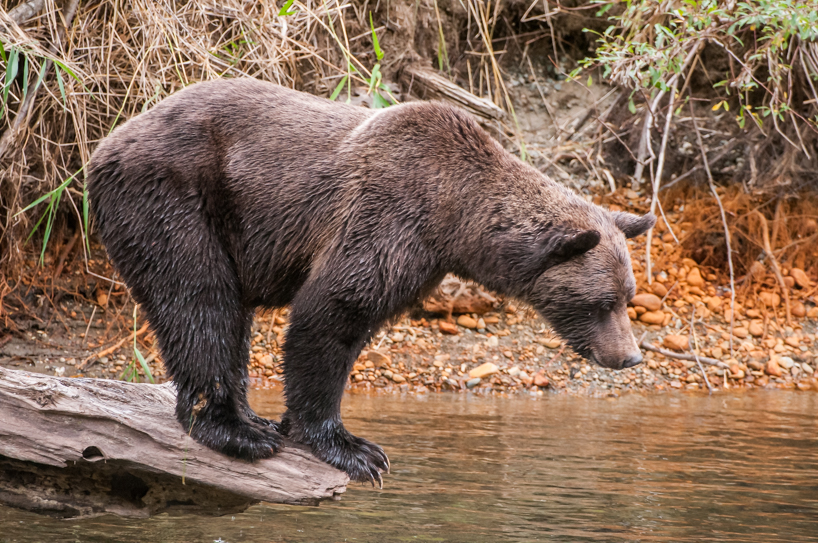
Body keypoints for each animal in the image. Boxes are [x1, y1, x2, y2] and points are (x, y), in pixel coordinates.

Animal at [88, 78, 654, 486]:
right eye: (603, 301)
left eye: (628, 299)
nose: (629, 357)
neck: (454, 217)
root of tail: (106, 142)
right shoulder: (387, 215)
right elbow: (332, 311)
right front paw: (355, 449)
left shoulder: (422, 258)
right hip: (172, 195)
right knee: (199, 300)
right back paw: (236, 430)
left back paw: (254, 419)